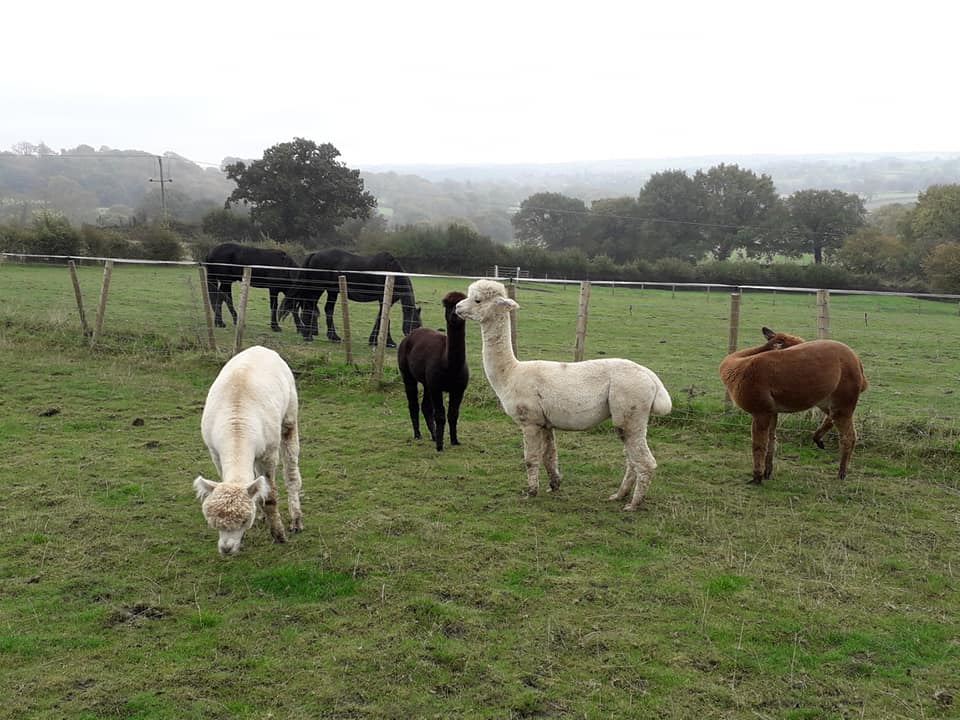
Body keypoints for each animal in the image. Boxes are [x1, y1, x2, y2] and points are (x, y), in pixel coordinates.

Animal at [284, 249, 422, 348]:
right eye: (414, 324)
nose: (414, 341)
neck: (392, 272)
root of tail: (315, 254)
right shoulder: (383, 300)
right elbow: (385, 319)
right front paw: (388, 342)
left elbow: (381, 318)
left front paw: (375, 341)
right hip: (318, 289)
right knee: (310, 306)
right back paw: (309, 335)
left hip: (331, 291)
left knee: (326, 309)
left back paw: (331, 336)